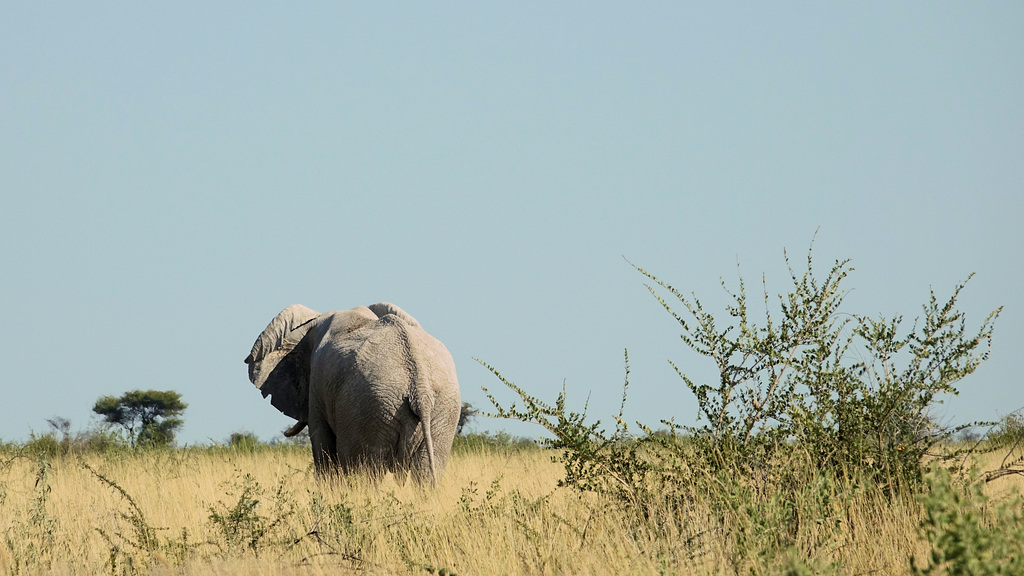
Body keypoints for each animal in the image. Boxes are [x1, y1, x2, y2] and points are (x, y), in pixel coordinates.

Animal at [243, 303, 460, 481]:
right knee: (425, 476)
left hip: (370, 409)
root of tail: (419, 387)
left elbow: (323, 448)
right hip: (441, 412)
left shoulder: (317, 386)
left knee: (366, 474)